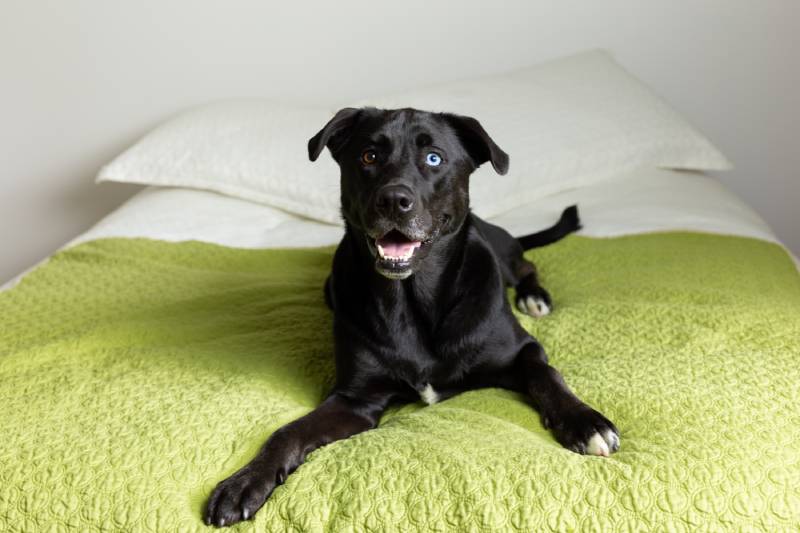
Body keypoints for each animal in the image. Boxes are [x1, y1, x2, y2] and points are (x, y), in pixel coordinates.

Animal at [205, 107, 620, 524]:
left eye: (433, 158)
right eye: (369, 156)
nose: (393, 200)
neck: (412, 300)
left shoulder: (522, 351)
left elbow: (547, 375)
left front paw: (585, 422)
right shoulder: (355, 400)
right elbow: (289, 431)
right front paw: (245, 481)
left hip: (502, 252)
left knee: (526, 265)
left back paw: (535, 296)